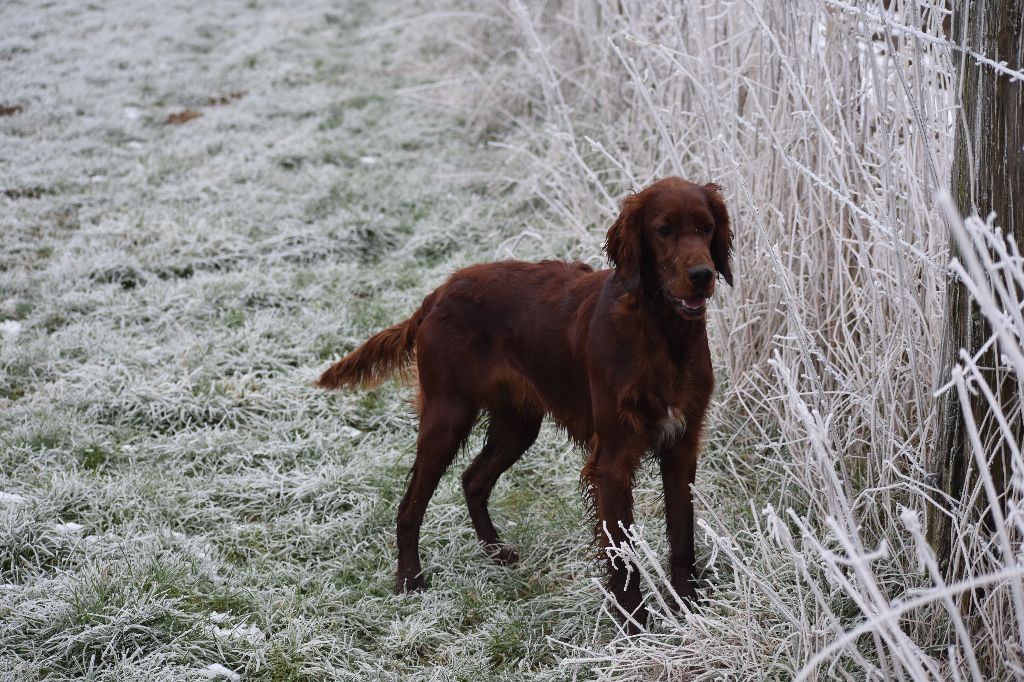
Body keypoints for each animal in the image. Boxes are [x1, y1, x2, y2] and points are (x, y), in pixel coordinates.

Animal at [319, 175, 729, 626]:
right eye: (664, 230)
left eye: (707, 227)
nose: (702, 274)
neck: (661, 336)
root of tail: (439, 292)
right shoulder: (614, 458)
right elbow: (621, 553)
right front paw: (633, 624)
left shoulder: (681, 447)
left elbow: (683, 535)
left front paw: (690, 608)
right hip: (447, 416)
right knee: (410, 506)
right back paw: (410, 581)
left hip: (518, 424)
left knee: (473, 480)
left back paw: (496, 552)